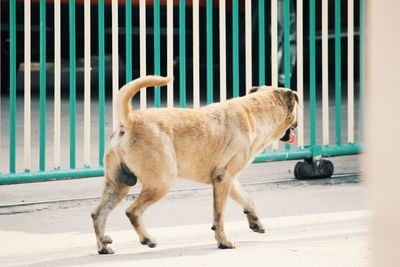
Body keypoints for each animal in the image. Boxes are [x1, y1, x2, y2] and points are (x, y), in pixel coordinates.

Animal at [91, 75, 296, 255]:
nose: (296, 126)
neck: (254, 110)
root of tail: (130, 120)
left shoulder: (228, 178)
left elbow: (247, 199)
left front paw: (255, 222)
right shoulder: (224, 180)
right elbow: (219, 217)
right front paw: (223, 242)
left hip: (118, 185)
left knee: (98, 213)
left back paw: (104, 246)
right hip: (160, 183)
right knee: (132, 211)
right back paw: (147, 239)